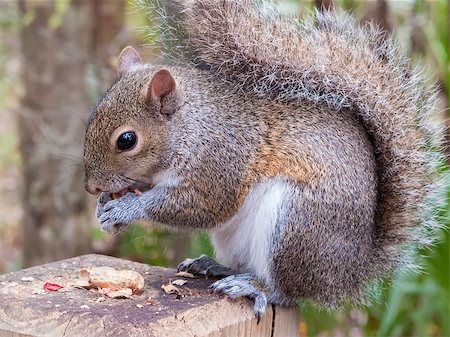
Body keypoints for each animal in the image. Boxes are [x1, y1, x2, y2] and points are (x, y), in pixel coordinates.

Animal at [83, 0, 442, 316]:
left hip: (296, 226)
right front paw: (105, 207)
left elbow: (202, 205)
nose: (91, 187)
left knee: (288, 292)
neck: (188, 126)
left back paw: (255, 287)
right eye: (91, 118)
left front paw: (128, 208)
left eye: (127, 140)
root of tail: (349, 273)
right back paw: (214, 266)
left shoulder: (220, 160)